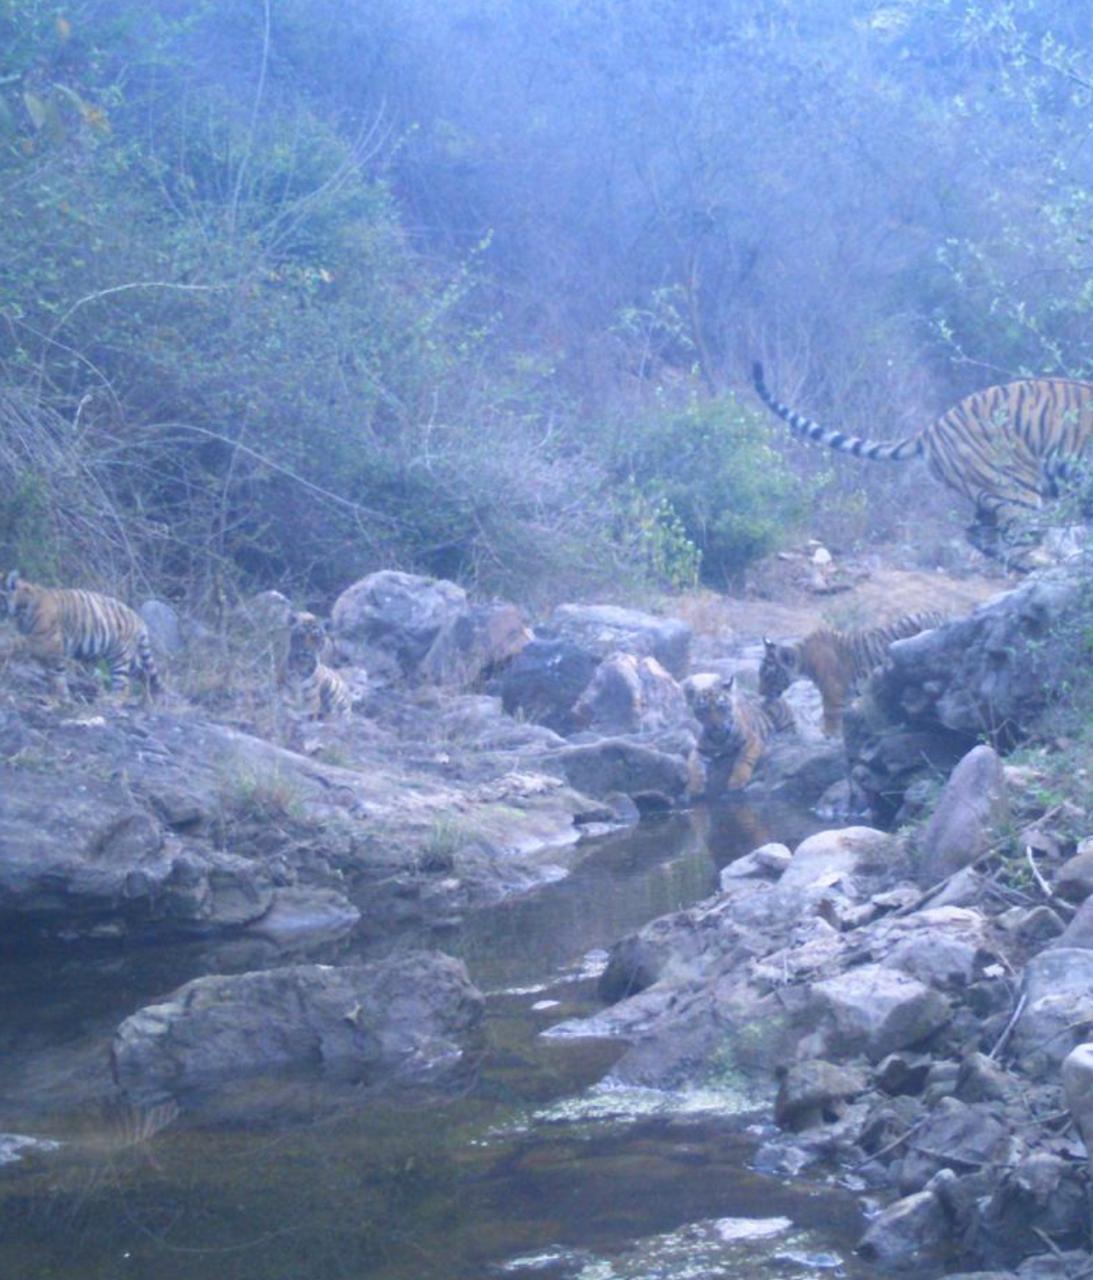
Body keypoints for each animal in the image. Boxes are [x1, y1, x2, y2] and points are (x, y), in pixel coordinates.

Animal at [1, 570, 162, 701]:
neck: (21, 610)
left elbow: (18, 641)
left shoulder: (47, 641)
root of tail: (138, 619)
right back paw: (146, 702)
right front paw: (63, 696)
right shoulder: (56, 651)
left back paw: (111, 702)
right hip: (127, 656)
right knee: (144, 673)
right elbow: (57, 673)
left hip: (119, 656)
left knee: (124, 686)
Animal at [762, 611, 952, 737]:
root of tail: (939, 614)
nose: (761, 695)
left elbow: (831, 716)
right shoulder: (845, 695)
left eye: (768, 676)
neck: (803, 659)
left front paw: (830, 735)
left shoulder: (832, 692)